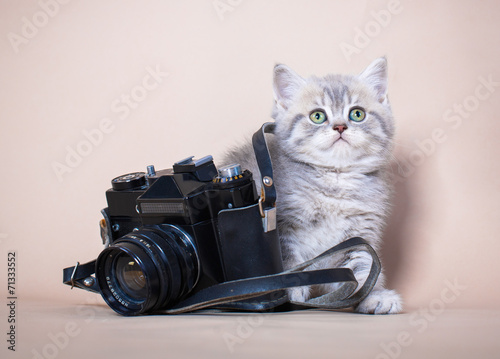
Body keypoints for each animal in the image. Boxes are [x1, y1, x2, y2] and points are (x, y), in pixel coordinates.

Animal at [223, 57, 402, 314]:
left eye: (357, 114)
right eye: (317, 116)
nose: (340, 127)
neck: (335, 181)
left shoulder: (359, 234)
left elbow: (364, 267)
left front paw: (373, 295)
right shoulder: (282, 225)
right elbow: (288, 261)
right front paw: (289, 290)